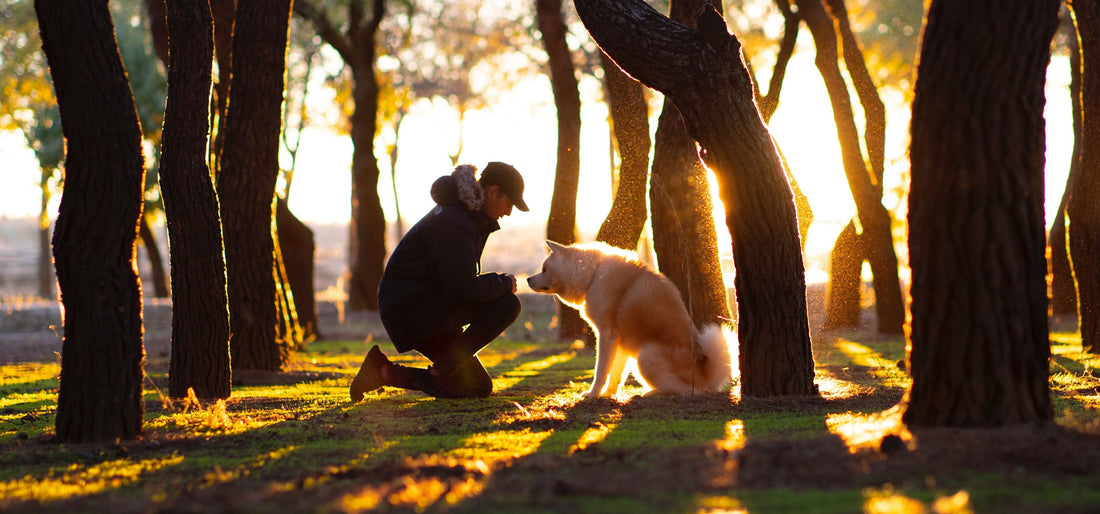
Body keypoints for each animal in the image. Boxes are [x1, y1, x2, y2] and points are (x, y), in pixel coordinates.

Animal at [525, 241, 734, 398]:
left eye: (544, 269)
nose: (527, 279)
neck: (593, 274)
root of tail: (705, 375)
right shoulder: (621, 343)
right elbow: (616, 374)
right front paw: (609, 394)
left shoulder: (606, 337)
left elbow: (601, 371)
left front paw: (593, 393)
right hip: (637, 357)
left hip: (645, 357)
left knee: (689, 391)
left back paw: (653, 393)